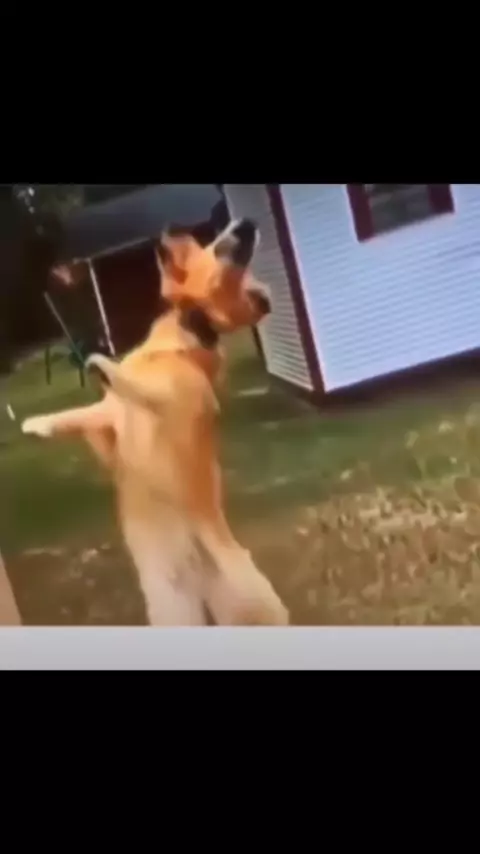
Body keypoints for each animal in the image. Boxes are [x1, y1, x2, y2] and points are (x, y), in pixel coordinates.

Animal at [22, 220, 289, 627]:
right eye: (215, 244)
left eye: (237, 258)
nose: (248, 224)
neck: (186, 335)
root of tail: (199, 564)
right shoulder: (109, 421)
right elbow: (80, 414)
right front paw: (39, 423)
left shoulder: (161, 399)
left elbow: (126, 383)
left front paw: (101, 364)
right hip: (171, 598)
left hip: (244, 595)